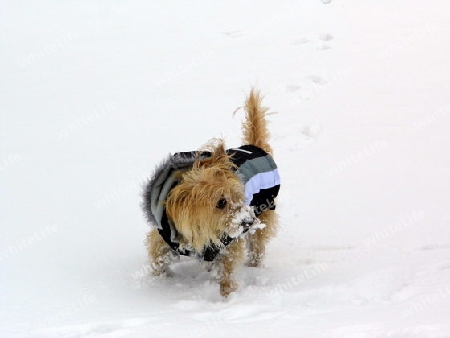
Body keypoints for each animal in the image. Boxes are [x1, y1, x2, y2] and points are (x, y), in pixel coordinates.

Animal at [142, 88, 280, 298]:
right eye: (221, 202)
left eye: (239, 197)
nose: (248, 221)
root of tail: (256, 147)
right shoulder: (164, 239)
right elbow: (158, 259)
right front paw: (158, 283)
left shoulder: (228, 243)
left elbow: (227, 271)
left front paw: (226, 296)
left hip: (263, 215)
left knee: (257, 246)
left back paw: (253, 266)